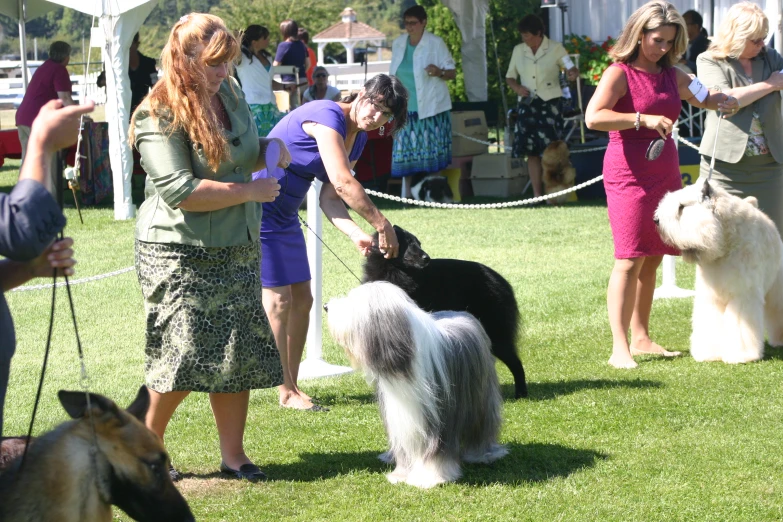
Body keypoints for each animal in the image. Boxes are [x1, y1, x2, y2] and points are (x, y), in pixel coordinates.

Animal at [324, 280, 508, 488]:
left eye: (352, 301)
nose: (326, 307)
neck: (404, 361)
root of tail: (465, 314)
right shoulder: (400, 418)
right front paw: (401, 475)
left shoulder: (438, 418)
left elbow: (436, 451)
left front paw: (430, 477)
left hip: (480, 398)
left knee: (482, 425)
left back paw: (483, 454)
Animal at [364, 224, 528, 398]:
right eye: (408, 242)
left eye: (418, 243)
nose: (427, 258)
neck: (395, 271)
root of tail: (500, 280)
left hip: (497, 334)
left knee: (516, 362)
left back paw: (521, 392)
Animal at [656, 182, 783, 362]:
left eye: (682, 206)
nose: (656, 220)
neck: (725, 240)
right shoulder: (710, 297)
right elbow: (711, 326)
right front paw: (709, 353)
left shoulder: (742, 296)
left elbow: (740, 328)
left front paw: (740, 355)